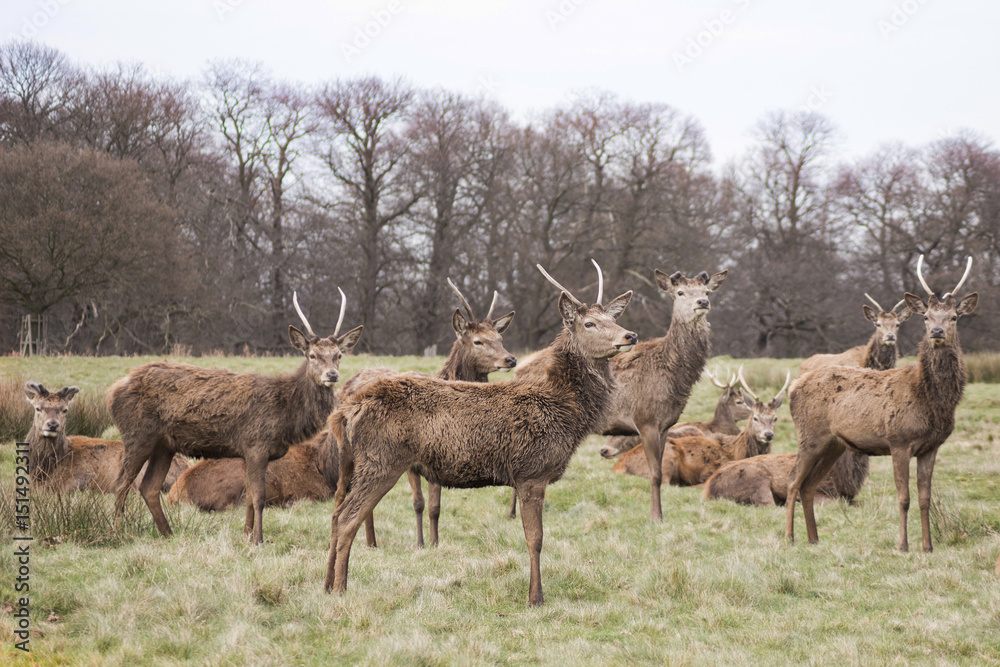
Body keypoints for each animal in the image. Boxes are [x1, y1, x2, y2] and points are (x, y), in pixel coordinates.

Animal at [109, 292, 364, 548]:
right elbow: (258, 497)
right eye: (312, 355)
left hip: (165, 445)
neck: (285, 415)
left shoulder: (252, 453)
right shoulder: (256, 445)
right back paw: (117, 532)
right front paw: (259, 539)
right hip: (137, 435)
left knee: (148, 487)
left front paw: (247, 535)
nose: (332, 375)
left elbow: (250, 496)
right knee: (121, 484)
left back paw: (168, 533)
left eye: (339, 355)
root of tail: (113, 391)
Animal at [328, 264, 640, 608]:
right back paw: (340, 589)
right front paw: (535, 598)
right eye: (589, 323)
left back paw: (327, 584)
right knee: (347, 519)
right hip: (381, 460)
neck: (567, 415)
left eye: (613, 318)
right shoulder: (531, 472)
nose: (630, 335)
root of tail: (347, 411)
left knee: (335, 514)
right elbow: (536, 539)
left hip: (355, 464)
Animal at [608, 368, 788, 488]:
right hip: (666, 458)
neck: (738, 451)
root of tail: (618, 466)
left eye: (775, 418)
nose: (768, 435)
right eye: (755, 417)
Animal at [784, 256, 972, 552]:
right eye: (926, 317)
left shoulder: (931, 447)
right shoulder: (899, 440)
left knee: (808, 485)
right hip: (809, 434)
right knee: (792, 481)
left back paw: (814, 539)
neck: (931, 401)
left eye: (954, 317)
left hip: (834, 443)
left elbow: (925, 498)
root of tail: (793, 387)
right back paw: (789, 537)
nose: (937, 332)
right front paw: (903, 545)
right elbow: (904, 498)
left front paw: (928, 547)